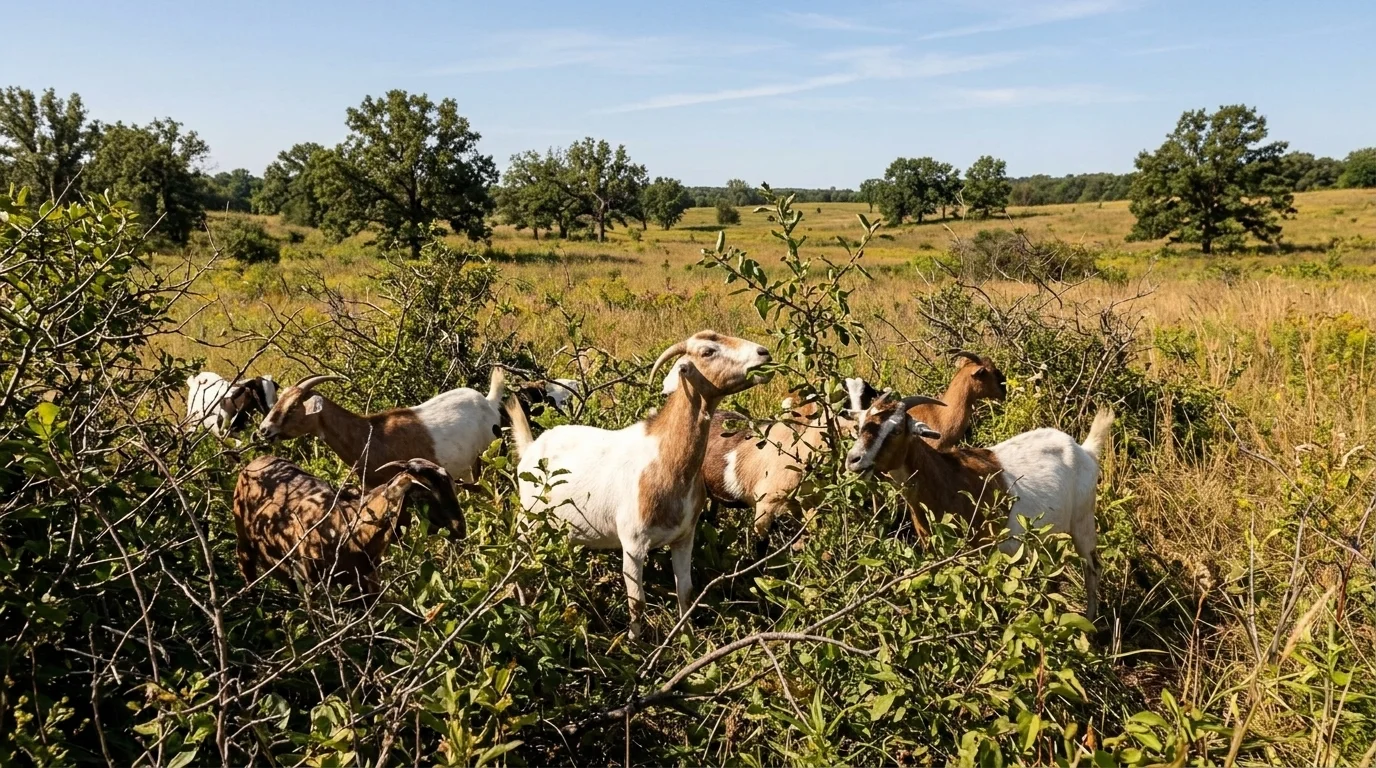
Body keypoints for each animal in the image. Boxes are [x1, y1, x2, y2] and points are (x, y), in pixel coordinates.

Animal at [233, 456, 461, 595]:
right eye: (425, 494)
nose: (460, 529)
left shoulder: (367, 585)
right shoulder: (310, 583)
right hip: (244, 540)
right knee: (246, 566)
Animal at [506, 330, 771, 640]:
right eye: (707, 351)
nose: (764, 353)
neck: (664, 460)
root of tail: (530, 448)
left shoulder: (685, 537)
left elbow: (686, 592)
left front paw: (687, 636)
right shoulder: (633, 543)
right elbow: (637, 601)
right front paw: (635, 642)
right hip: (529, 521)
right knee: (519, 562)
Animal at [844, 394, 1113, 620]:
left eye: (897, 429)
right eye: (860, 426)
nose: (853, 460)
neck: (946, 477)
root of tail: (1085, 451)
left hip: (1083, 521)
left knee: (1093, 568)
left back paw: (1090, 618)